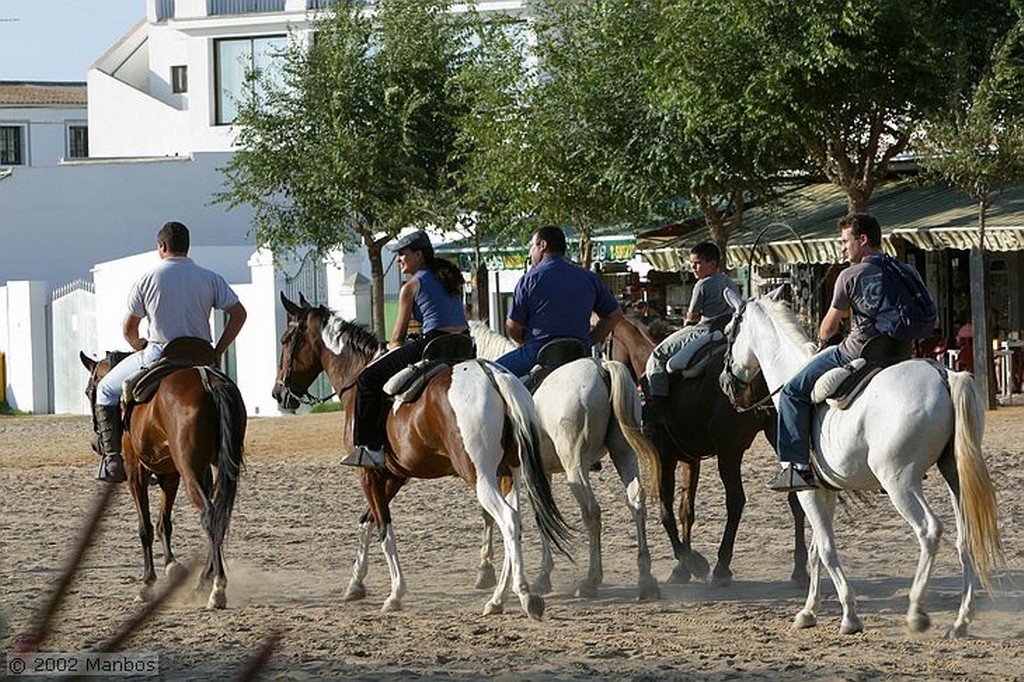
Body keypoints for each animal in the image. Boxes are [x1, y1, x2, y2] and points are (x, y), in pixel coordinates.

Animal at [79, 350, 245, 606]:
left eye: (89, 391)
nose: (96, 444)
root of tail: (209, 381)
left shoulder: (136, 473)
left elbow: (145, 527)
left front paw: (147, 584)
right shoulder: (170, 475)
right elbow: (163, 524)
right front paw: (172, 566)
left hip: (189, 471)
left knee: (209, 515)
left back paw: (217, 589)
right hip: (217, 469)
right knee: (219, 516)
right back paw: (203, 582)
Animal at [272, 292, 573, 614]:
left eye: (286, 339)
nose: (278, 393)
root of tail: (491, 374)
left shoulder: (368, 473)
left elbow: (384, 529)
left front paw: (395, 593)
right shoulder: (393, 475)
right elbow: (367, 521)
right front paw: (355, 583)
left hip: (480, 477)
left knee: (507, 519)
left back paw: (525, 596)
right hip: (509, 473)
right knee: (514, 522)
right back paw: (498, 598)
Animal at [471, 321, 663, 598]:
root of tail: (601, 368)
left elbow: (500, 513)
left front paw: (487, 570)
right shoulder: (541, 473)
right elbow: (541, 515)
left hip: (576, 466)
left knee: (592, 512)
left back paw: (591, 579)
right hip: (624, 454)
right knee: (636, 502)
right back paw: (646, 579)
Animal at [606, 313, 806, 585]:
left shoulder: (665, 458)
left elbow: (666, 511)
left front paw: (691, 562)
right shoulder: (691, 460)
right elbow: (686, 511)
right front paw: (682, 568)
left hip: (729, 452)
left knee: (736, 501)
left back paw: (722, 566)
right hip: (778, 441)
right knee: (795, 496)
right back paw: (800, 569)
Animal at [720, 284, 1007, 634]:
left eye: (728, 332)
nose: (725, 383)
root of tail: (942, 373)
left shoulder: (805, 491)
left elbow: (827, 549)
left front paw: (849, 615)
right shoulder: (824, 490)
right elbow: (816, 550)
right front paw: (809, 611)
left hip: (899, 482)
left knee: (929, 531)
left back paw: (916, 611)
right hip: (955, 476)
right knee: (965, 540)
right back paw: (961, 620)